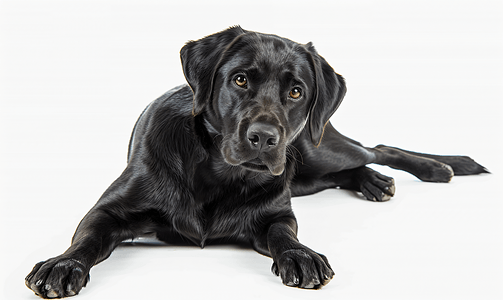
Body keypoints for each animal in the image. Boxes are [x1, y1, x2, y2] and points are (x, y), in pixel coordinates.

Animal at [24, 26, 488, 298]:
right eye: (240, 79)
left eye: (297, 91)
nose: (264, 138)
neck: (218, 173)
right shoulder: (108, 210)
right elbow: (87, 237)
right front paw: (62, 264)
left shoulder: (277, 213)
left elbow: (285, 234)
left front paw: (301, 255)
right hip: (310, 170)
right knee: (355, 164)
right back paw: (376, 181)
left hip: (315, 147)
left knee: (376, 147)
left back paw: (441, 167)